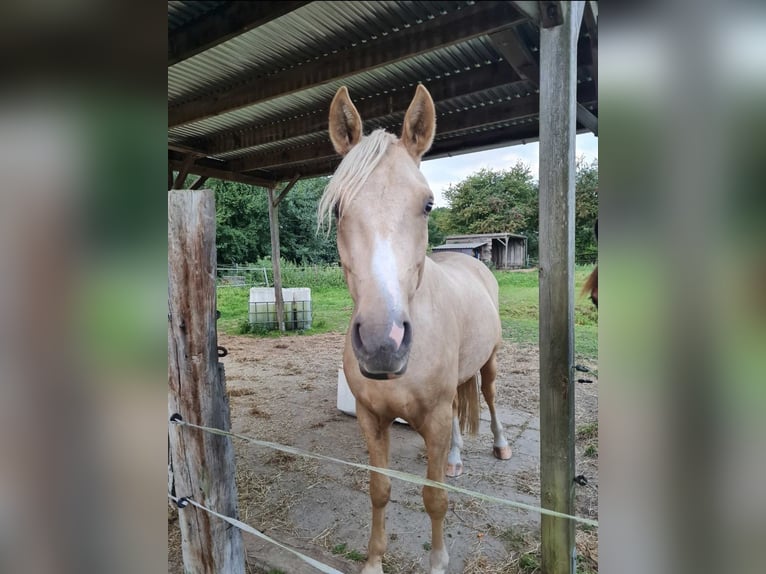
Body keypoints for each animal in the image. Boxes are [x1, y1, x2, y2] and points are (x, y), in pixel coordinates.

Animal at [320, 85, 512, 574]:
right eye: (340, 206)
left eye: (427, 204)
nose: (381, 343)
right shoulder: (372, 419)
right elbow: (380, 490)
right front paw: (373, 561)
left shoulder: (436, 418)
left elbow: (434, 497)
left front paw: (439, 562)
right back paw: (458, 459)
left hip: (489, 362)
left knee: (488, 396)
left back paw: (501, 446)